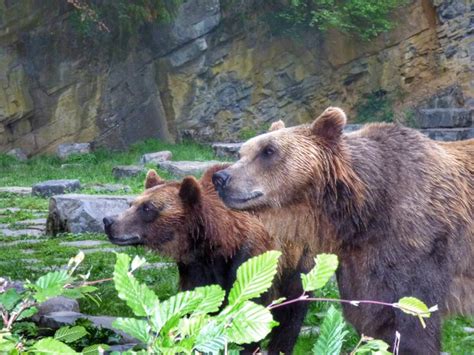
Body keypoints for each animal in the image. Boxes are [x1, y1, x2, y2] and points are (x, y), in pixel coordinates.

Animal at [103, 168, 308, 355]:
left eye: (147, 208)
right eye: (131, 203)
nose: (108, 221)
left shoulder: (251, 261)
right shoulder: (194, 269)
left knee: (293, 312)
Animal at [214, 108, 474, 355]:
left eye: (269, 150)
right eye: (242, 152)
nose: (221, 177)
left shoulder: (417, 245)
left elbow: (413, 324)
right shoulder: (361, 263)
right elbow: (373, 319)